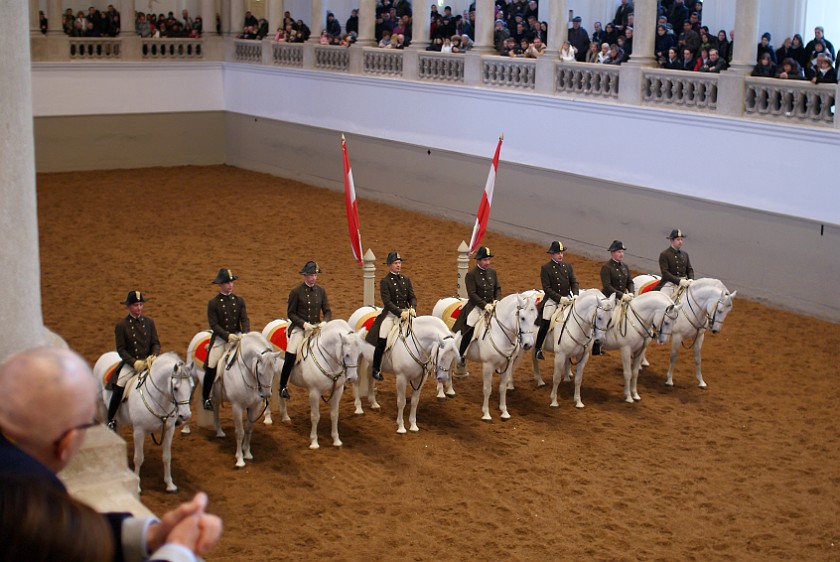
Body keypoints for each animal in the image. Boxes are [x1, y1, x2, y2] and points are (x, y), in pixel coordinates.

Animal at [94, 350, 193, 490]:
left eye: (191, 386)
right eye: (175, 388)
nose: (185, 416)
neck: (156, 399)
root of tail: (105, 355)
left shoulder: (169, 430)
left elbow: (167, 457)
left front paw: (170, 484)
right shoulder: (139, 431)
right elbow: (138, 458)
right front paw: (137, 487)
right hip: (103, 408)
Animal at [185, 330, 280, 466]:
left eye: (273, 372)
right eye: (260, 372)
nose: (266, 395)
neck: (247, 373)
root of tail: (201, 333)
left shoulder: (255, 406)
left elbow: (248, 429)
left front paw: (247, 453)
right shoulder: (237, 406)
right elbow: (239, 432)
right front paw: (240, 459)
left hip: (216, 393)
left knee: (215, 407)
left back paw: (219, 431)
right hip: (193, 378)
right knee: (188, 400)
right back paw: (186, 429)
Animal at [434, 290, 540, 418]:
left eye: (535, 318)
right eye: (523, 318)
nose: (528, 344)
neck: (499, 333)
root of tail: (442, 300)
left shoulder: (507, 365)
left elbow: (502, 388)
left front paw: (504, 412)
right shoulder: (488, 365)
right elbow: (487, 389)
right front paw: (486, 414)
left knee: (448, 367)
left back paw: (450, 390)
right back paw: (441, 392)